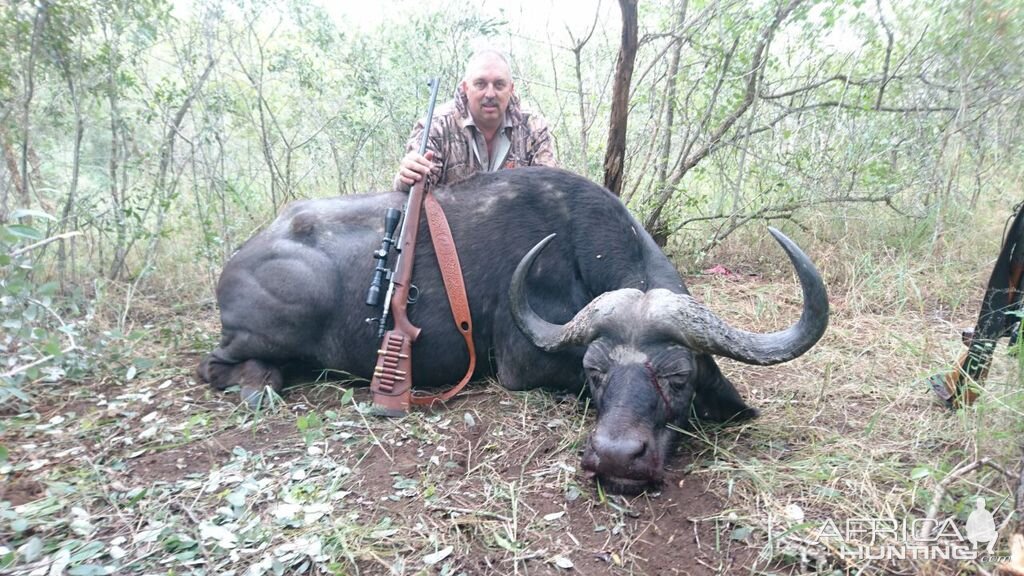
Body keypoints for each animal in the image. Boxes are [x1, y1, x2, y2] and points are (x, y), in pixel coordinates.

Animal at [197, 163, 823, 491]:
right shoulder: (523, 366)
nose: (616, 458)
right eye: (594, 373)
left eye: (678, 378)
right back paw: (259, 384)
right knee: (218, 367)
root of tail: (238, 259)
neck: (577, 249)